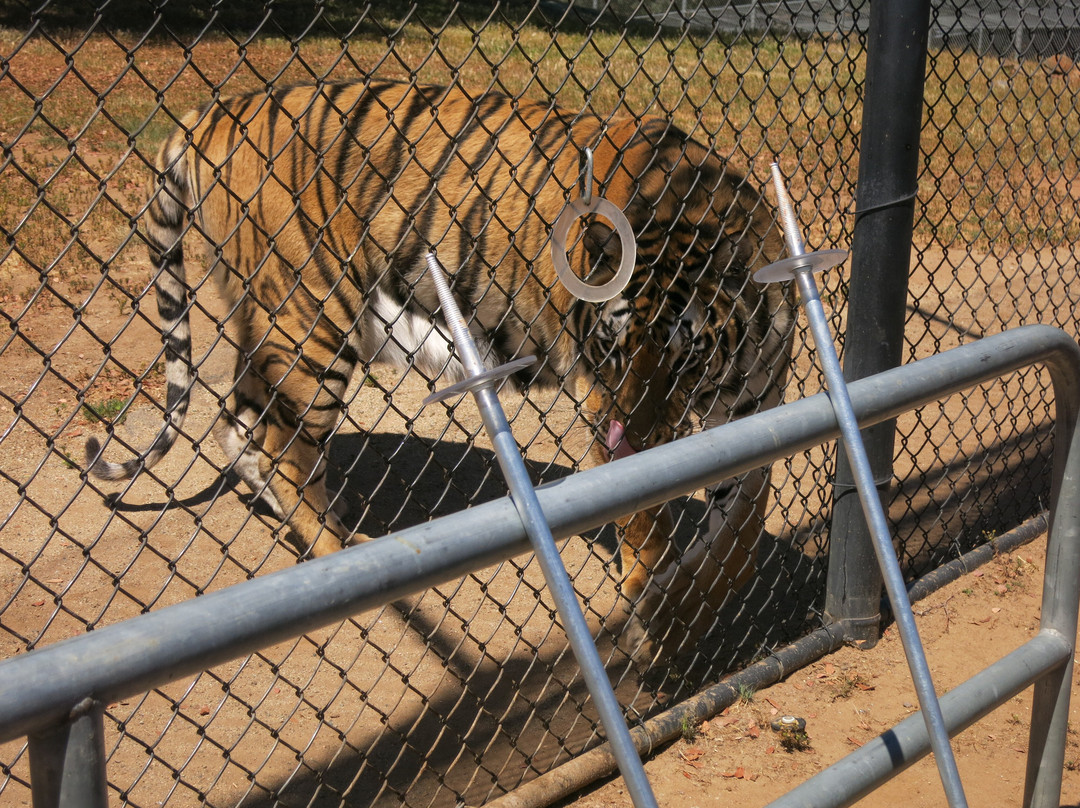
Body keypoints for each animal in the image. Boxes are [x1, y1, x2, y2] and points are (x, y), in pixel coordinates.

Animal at [85, 79, 795, 660]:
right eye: (611, 347)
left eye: (685, 355)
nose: (633, 434)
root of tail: (215, 112)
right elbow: (647, 520)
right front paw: (654, 617)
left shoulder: (755, 409)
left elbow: (741, 538)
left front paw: (693, 605)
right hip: (312, 323)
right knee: (280, 443)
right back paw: (337, 554)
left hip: (274, 326)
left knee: (241, 419)